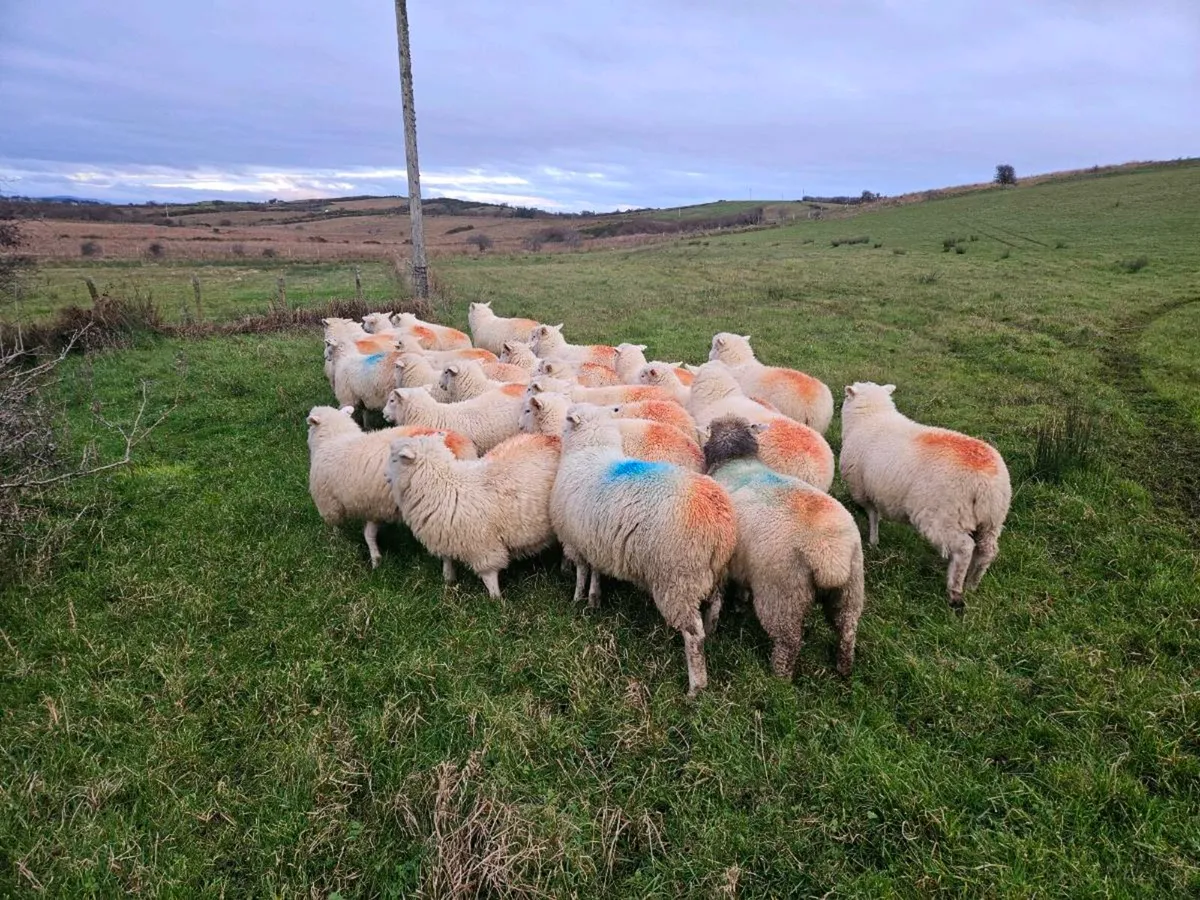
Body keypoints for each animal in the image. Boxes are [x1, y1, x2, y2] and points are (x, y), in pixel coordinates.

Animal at [307, 405, 476, 568]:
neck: (333, 437)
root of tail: (460, 444)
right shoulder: (374, 506)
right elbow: (369, 534)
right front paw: (376, 559)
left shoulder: (329, 503)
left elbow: (336, 528)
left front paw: (335, 545)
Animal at [387, 432, 559, 599]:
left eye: (395, 459)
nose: (386, 477)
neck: (445, 484)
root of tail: (550, 438)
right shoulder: (445, 535)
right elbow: (447, 561)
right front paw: (448, 582)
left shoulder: (483, 546)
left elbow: (489, 576)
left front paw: (496, 601)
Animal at [551, 405, 736, 696]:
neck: (589, 451)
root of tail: (722, 529)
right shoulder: (597, 542)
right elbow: (596, 572)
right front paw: (594, 599)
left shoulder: (575, 541)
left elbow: (582, 572)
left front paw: (578, 599)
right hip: (714, 574)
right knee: (716, 605)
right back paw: (713, 632)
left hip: (679, 580)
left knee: (693, 635)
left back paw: (696, 687)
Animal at [703, 416, 865, 679]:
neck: (736, 461)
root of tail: (829, 556)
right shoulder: (742, 561)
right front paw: (739, 604)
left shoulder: (723, 562)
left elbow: (716, 601)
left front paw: (712, 628)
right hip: (850, 588)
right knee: (847, 630)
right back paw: (844, 668)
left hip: (782, 594)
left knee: (789, 642)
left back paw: (779, 678)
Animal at [839, 382, 1011, 614]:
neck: (872, 416)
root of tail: (986, 484)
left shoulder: (863, 490)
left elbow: (873, 516)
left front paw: (873, 542)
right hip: (992, 520)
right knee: (987, 551)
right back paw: (972, 583)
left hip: (942, 516)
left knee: (964, 548)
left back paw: (955, 590)